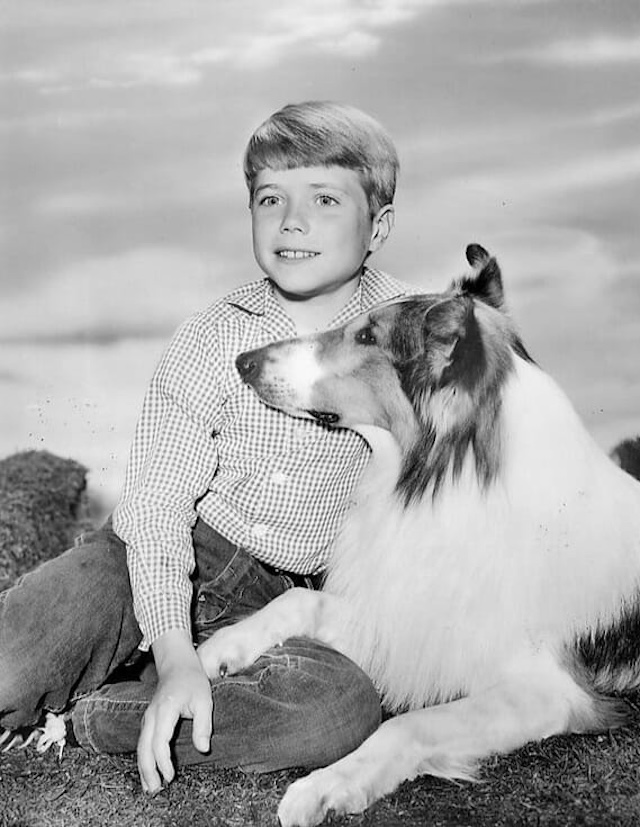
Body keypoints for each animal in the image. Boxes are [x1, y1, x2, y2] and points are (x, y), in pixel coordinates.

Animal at [198, 246, 640, 827]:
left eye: (367, 336)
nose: (243, 361)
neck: (450, 482)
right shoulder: (406, 612)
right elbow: (299, 600)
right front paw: (210, 654)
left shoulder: (549, 690)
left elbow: (406, 724)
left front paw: (327, 785)